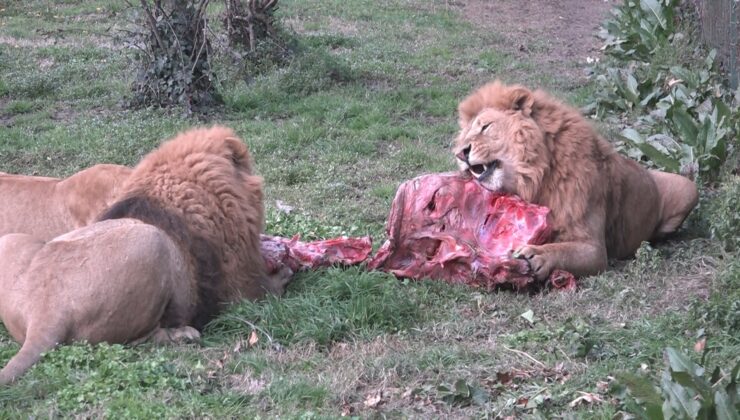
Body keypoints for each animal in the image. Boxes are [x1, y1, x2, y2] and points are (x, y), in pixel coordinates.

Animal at [450, 80, 700, 280]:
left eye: (485, 126)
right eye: (466, 134)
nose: (460, 153)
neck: (537, 176)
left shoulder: (595, 249)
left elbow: (563, 250)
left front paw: (536, 255)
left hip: (689, 188)